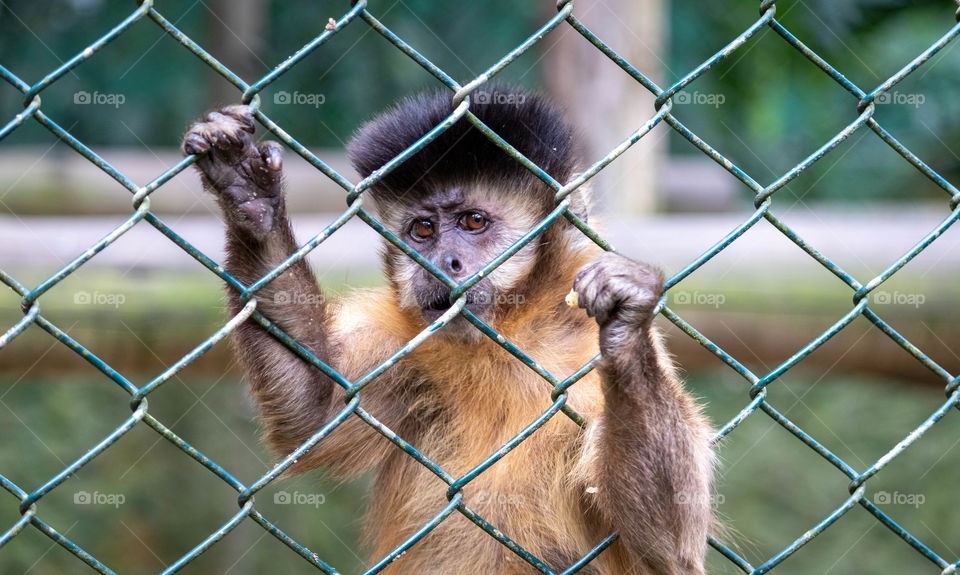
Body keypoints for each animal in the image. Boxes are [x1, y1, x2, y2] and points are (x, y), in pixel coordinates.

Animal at [184, 86, 716, 575]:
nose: (444, 262)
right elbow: (313, 415)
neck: (508, 332)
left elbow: (668, 548)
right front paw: (250, 196)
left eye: (473, 221)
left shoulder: (581, 347)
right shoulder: (402, 340)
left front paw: (627, 322)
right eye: (422, 230)